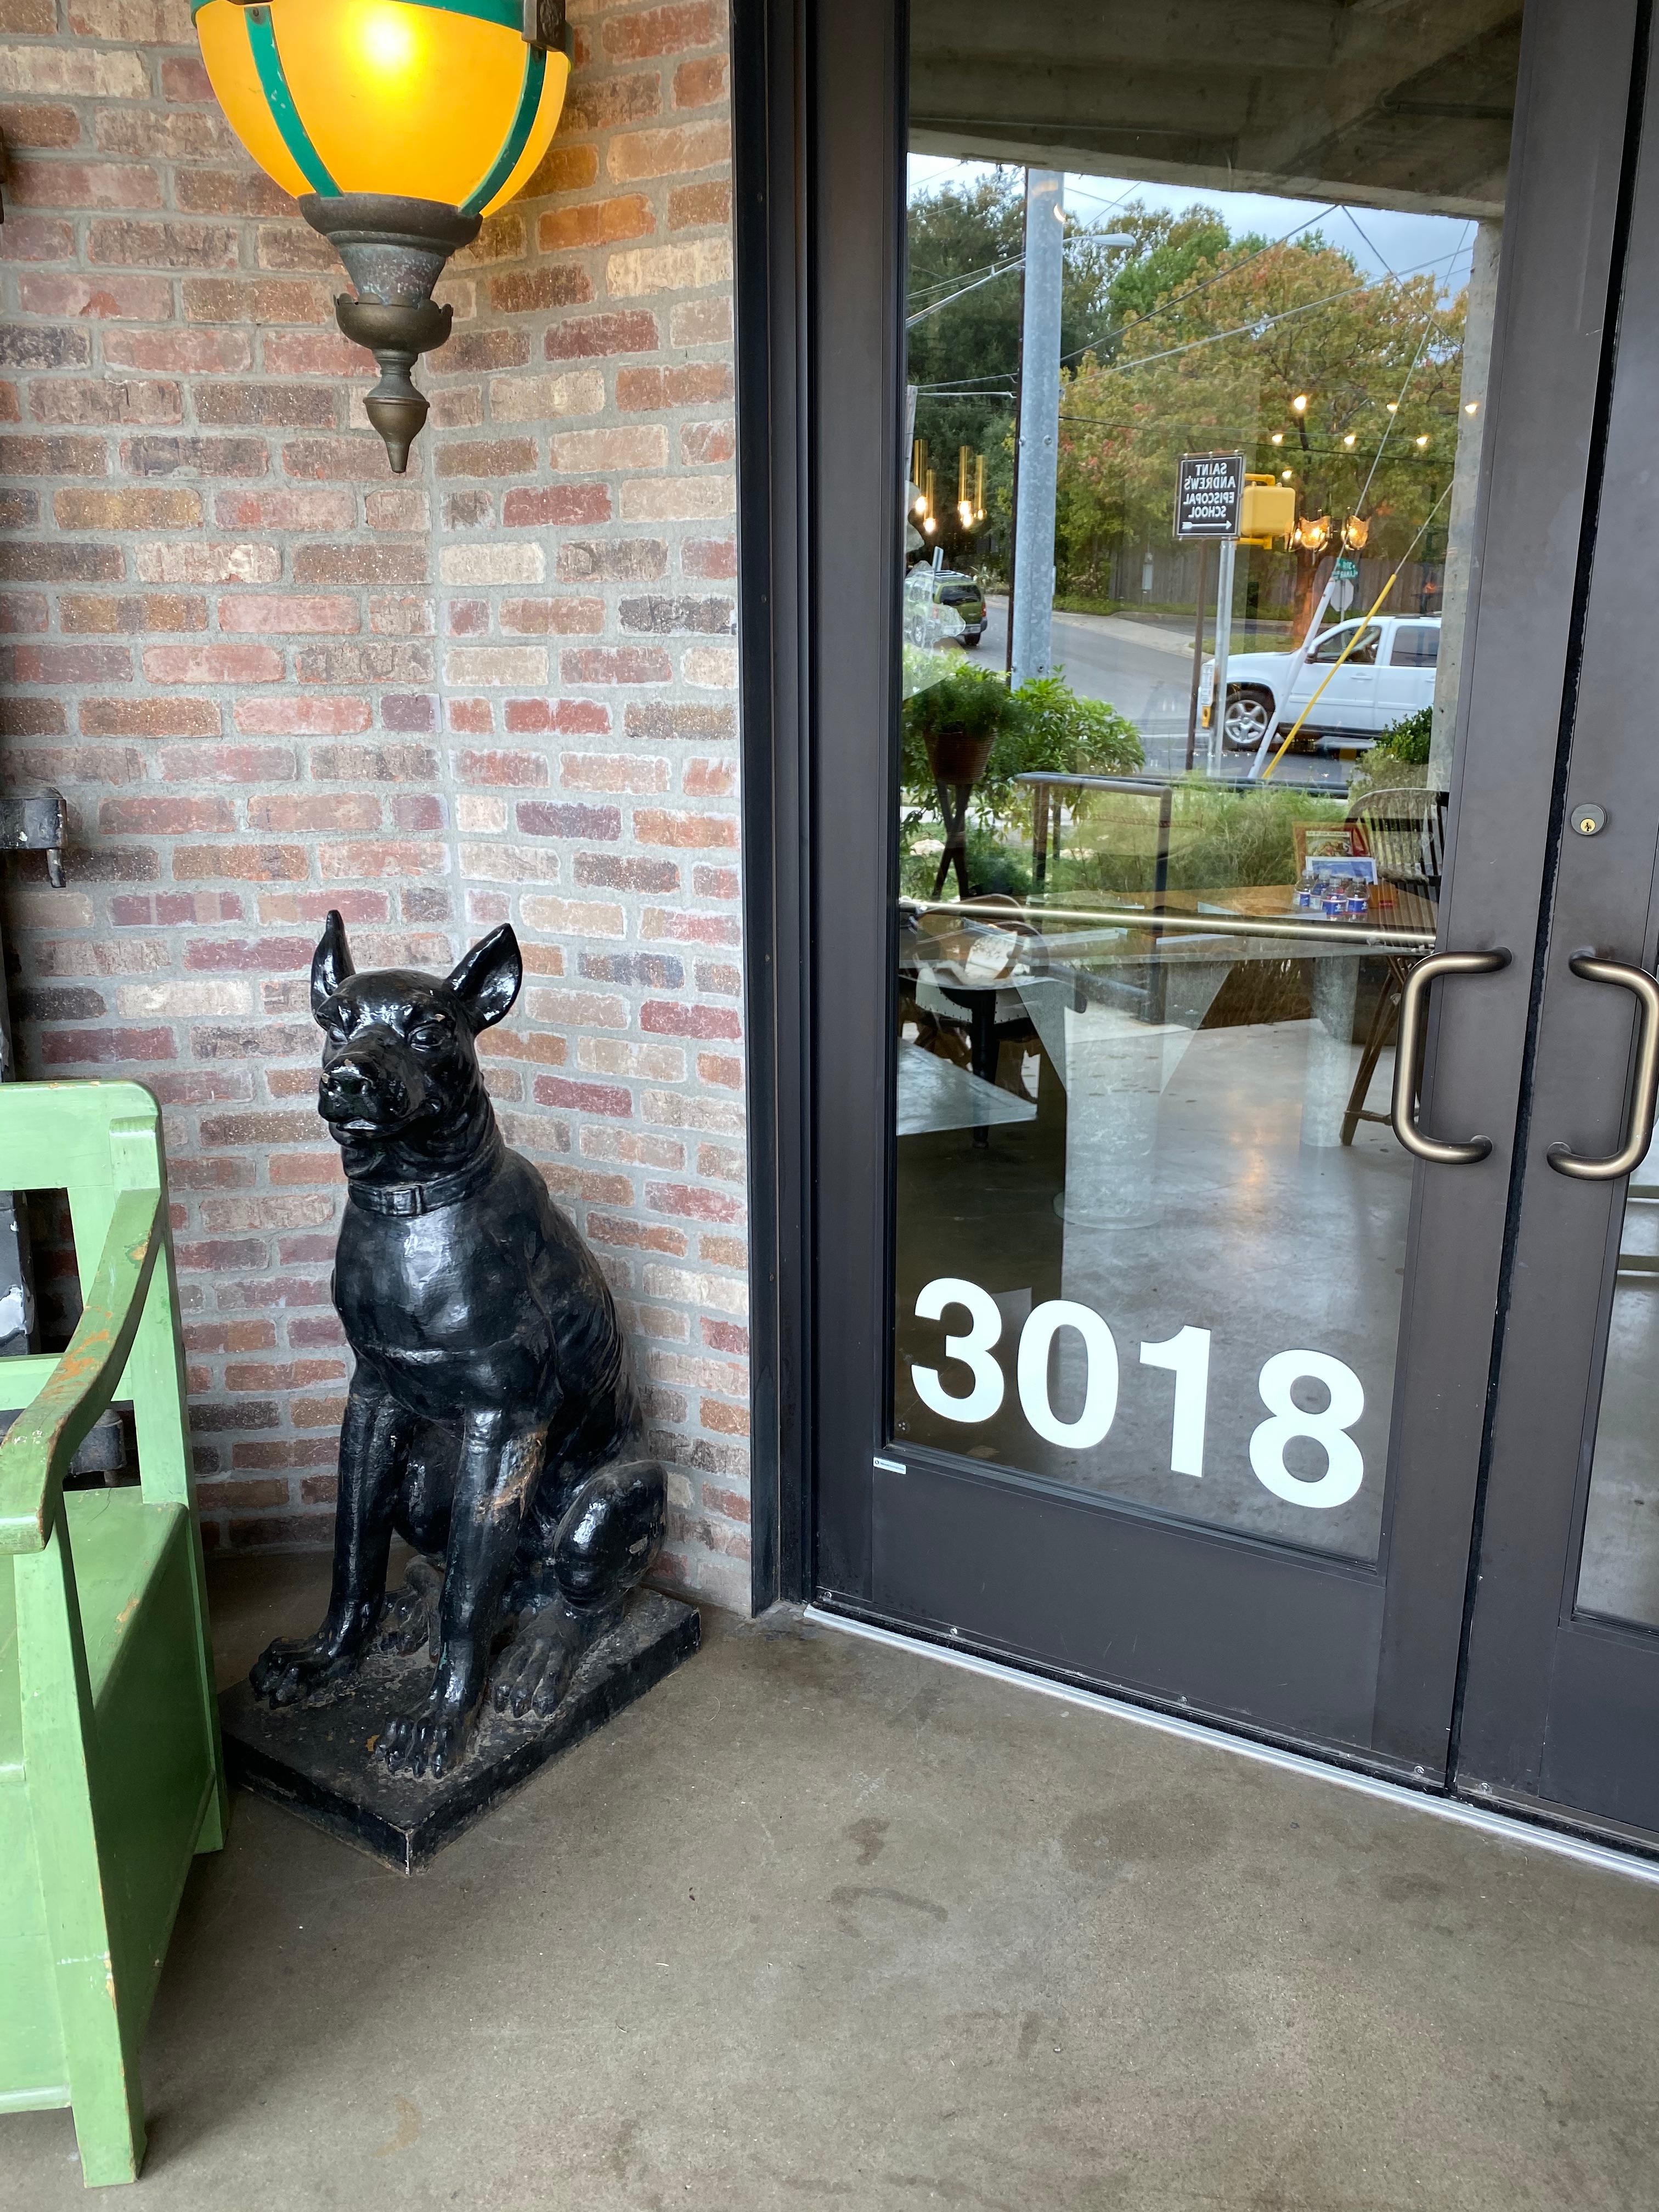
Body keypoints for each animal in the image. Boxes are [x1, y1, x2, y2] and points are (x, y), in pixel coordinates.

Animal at [250, 907, 668, 1769]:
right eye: (335, 1023)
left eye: (429, 1028)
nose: (347, 1078)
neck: (410, 1201)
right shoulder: (371, 1398)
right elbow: (354, 1554)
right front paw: (322, 1659)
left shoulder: (504, 1421)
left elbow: (470, 1597)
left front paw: (442, 1720)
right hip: (428, 1471)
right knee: (457, 1571)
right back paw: (411, 1613)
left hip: (607, 1504)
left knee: (575, 1600)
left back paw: (538, 1656)